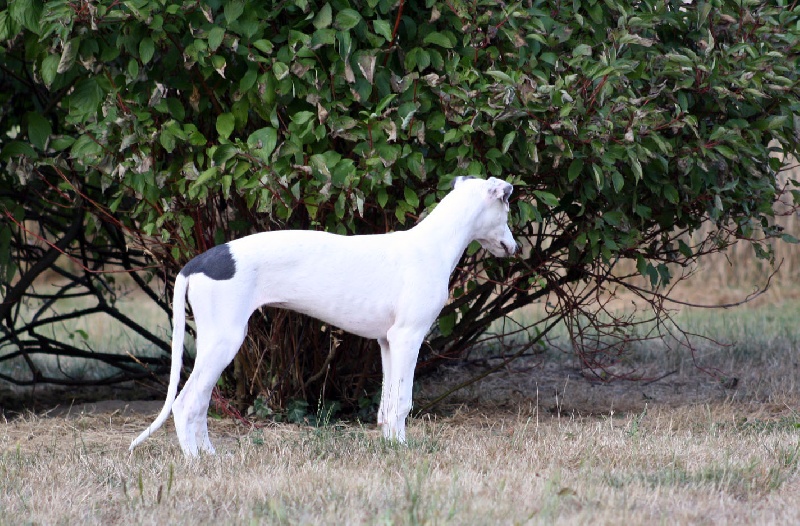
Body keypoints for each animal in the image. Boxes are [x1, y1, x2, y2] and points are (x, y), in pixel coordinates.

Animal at [130, 175, 520, 456]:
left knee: (199, 404)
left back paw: (210, 456)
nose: (516, 248)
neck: (431, 245)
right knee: (186, 403)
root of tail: (195, 263)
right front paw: (405, 452)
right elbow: (403, 402)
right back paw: (195, 460)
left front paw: (391, 448)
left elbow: (387, 404)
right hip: (224, 341)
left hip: (217, 343)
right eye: (507, 210)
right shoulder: (408, 338)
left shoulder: (388, 342)